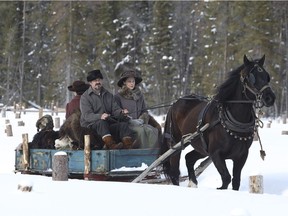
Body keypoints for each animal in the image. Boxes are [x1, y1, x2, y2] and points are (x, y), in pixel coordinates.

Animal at [161, 54, 276, 190]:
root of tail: (175, 103)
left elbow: (236, 181)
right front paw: (220, 189)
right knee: (174, 171)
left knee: (189, 158)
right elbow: (226, 178)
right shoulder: (216, 154)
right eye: (250, 77)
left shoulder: (241, 156)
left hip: (201, 147)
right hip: (175, 143)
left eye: (266, 76)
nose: (270, 98)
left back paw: (193, 183)